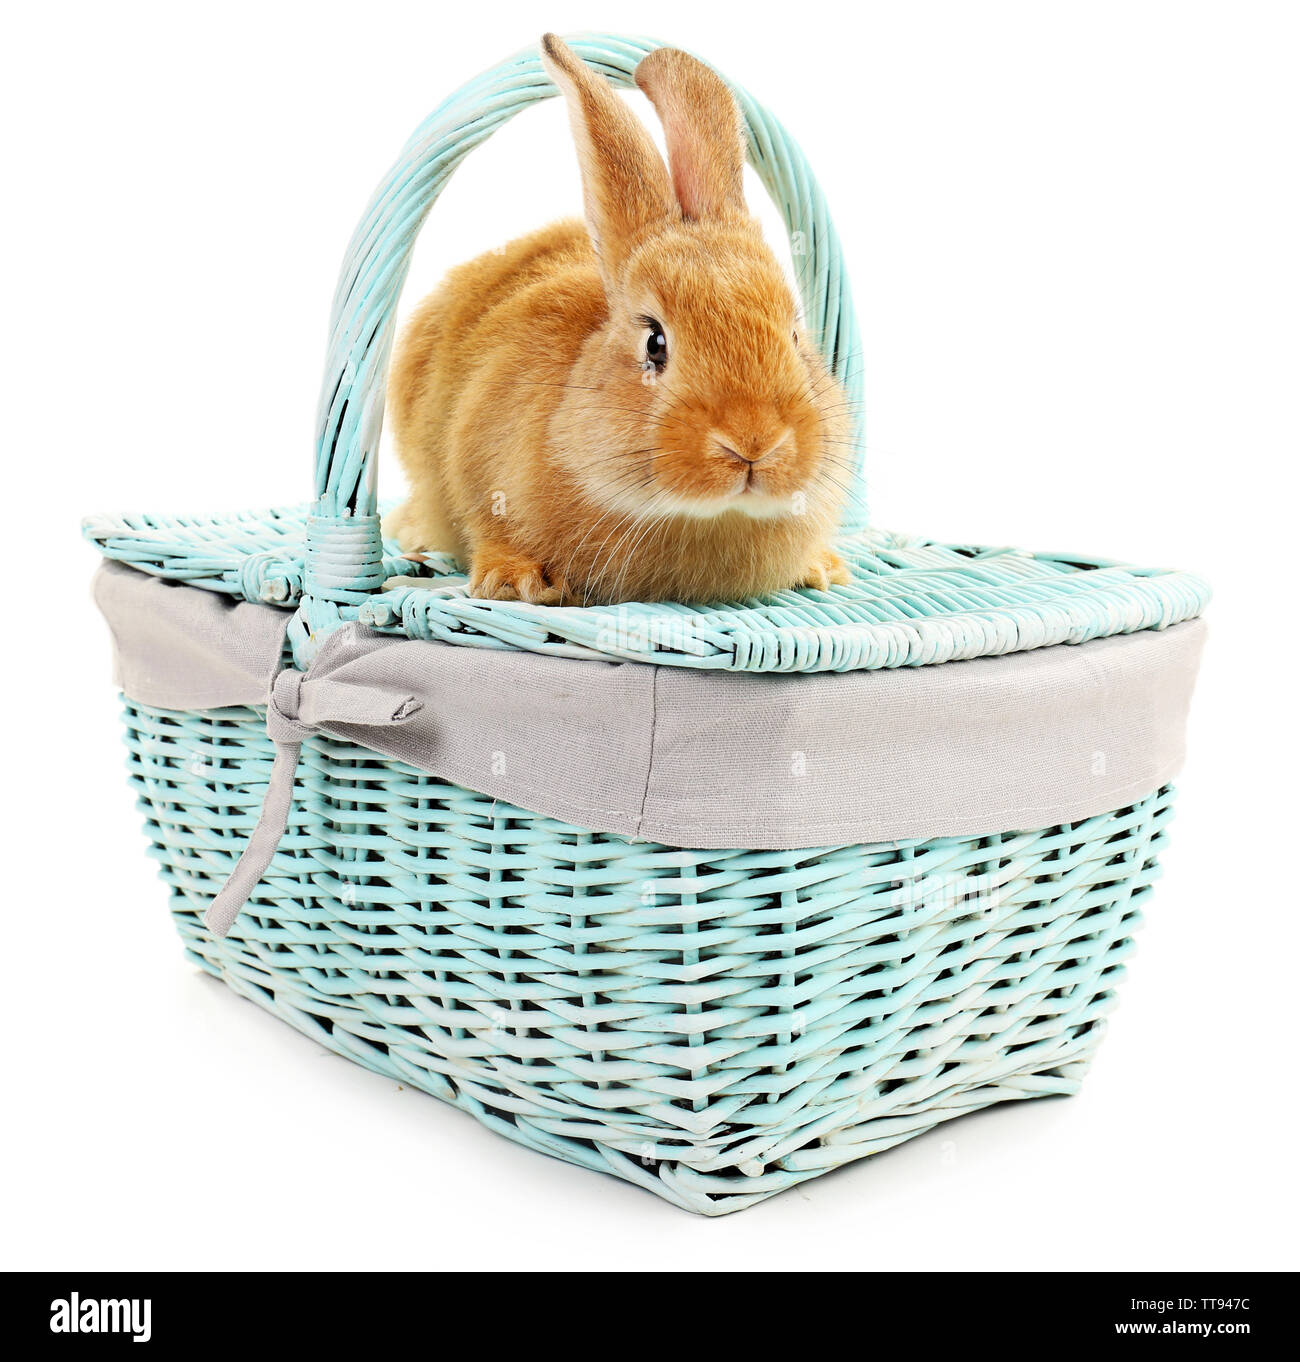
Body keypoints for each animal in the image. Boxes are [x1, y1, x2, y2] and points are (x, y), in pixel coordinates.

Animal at [384, 34, 854, 606]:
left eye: (794, 335)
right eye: (655, 342)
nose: (754, 443)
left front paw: (824, 566)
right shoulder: (474, 454)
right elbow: (488, 524)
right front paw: (513, 582)